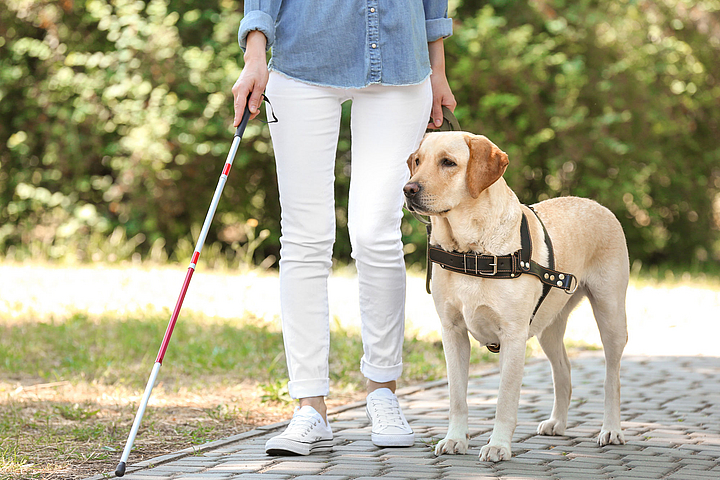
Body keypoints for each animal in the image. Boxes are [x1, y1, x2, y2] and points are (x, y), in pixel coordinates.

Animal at [404, 131, 632, 462]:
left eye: (448, 162)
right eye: (418, 161)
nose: (408, 189)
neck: (471, 251)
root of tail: (597, 205)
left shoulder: (512, 335)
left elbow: (505, 398)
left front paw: (498, 445)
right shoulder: (452, 331)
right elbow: (457, 397)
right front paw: (455, 439)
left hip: (611, 315)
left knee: (611, 378)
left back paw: (611, 429)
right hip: (548, 327)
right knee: (563, 370)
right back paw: (557, 422)